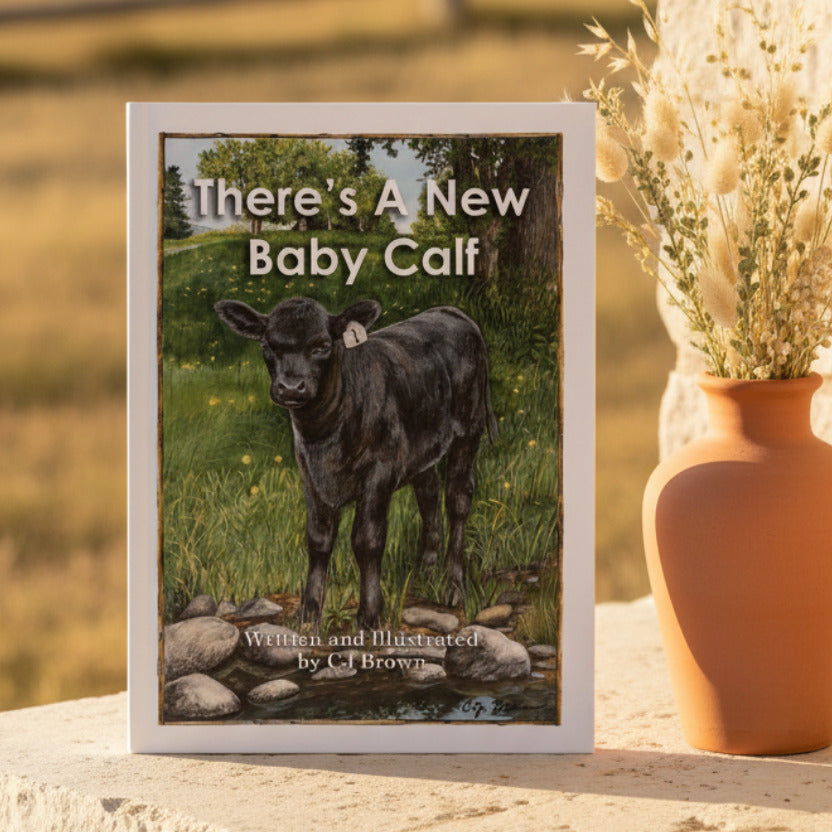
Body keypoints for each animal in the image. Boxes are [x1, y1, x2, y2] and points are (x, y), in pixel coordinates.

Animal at [214, 296, 498, 631]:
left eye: (322, 345)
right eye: (269, 345)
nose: (291, 387)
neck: (325, 434)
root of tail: (451, 312)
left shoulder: (379, 473)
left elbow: (367, 540)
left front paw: (370, 615)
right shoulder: (310, 475)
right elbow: (318, 541)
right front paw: (309, 614)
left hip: (469, 431)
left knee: (458, 501)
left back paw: (453, 586)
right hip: (422, 448)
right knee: (428, 497)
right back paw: (424, 574)